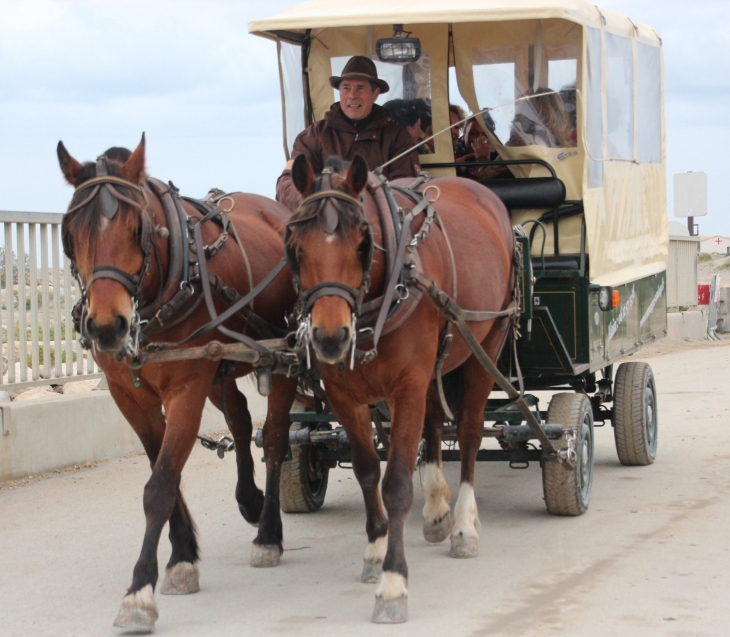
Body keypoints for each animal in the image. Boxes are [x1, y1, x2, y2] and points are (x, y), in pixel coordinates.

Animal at [55, 135, 298, 632]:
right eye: (71, 234)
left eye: (137, 229)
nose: (106, 327)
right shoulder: (130, 396)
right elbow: (162, 470)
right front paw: (182, 554)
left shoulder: (186, 386)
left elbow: (160, 485)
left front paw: (139, 592)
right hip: (220, 363)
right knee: (240, 419)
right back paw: (249, 499)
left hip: (280, 354)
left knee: (275, 438)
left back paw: (268, 532)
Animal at [280, 154, 512, 620]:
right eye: (295, 247)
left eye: (362, 244)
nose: (330, 338)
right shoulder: (345, 394)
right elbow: (369, 471)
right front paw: (375, 550)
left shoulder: (406, 385)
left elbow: (397, 484)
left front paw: (393, 584)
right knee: (436, 422)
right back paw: (438, 508)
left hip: (488, 343)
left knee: (470, 432)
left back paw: (463, 525)